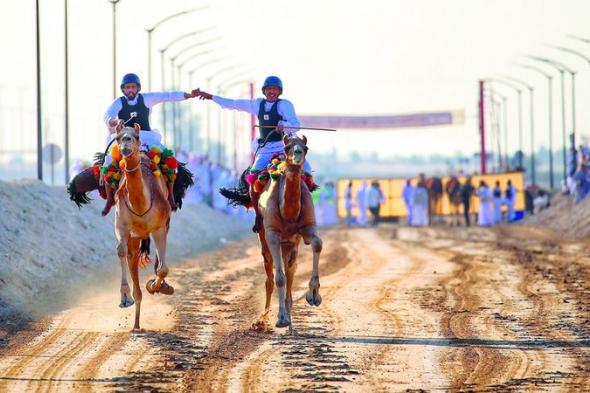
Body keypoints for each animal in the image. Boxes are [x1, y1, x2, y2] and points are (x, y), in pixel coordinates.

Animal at [112, 122, 173, 330]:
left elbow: (163, 269)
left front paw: (155, 285)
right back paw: (136, 321)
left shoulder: (159, 227)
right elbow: (121, 250)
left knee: (158, 261)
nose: (125, 145)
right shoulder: (121, 224)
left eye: (135, 136)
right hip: (136, 236)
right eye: (118, 137)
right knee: (132, 258)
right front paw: (124, 297)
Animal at [256, 134, 324, 330]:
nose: (298, 154)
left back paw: (291, 321)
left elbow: (317, 243)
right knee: (270, 272)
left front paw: (314, 294)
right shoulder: (272, 234)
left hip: (291, 243)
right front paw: (281, 318)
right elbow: (279, 277)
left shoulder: (307, 228)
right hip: (264, 236)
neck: (288, 213)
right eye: (287, 147)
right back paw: (264, 318)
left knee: (291, 268)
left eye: (305, 147)